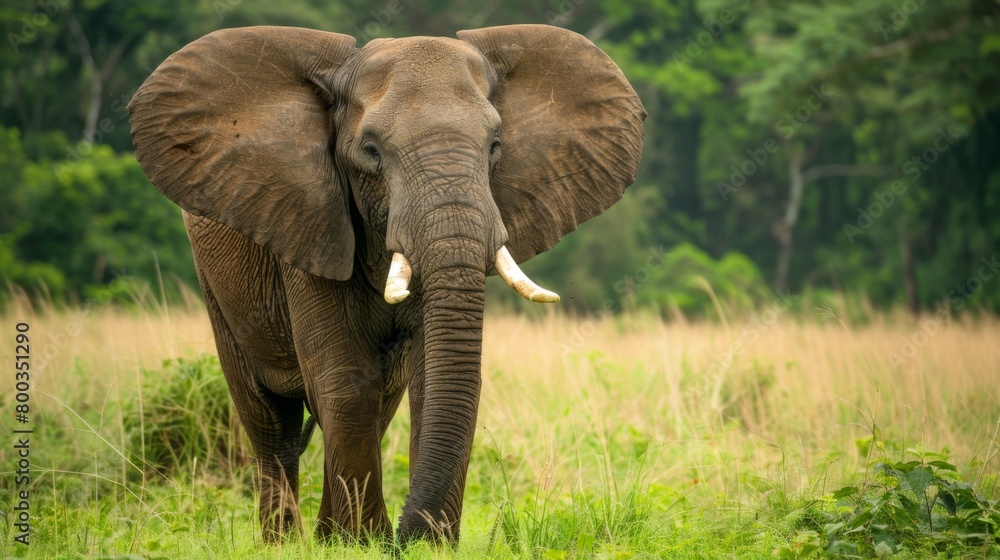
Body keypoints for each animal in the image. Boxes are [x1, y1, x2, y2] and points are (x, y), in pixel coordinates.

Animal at [128, 24, 644, 545]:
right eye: (371, 151)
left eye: (496, 145)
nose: (406, 535)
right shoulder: (311, 222)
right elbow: (345, 380)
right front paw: (362, 541)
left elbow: (425, 377)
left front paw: (411, 544)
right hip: (216, 284)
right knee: (270, 423)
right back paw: (285, 540)